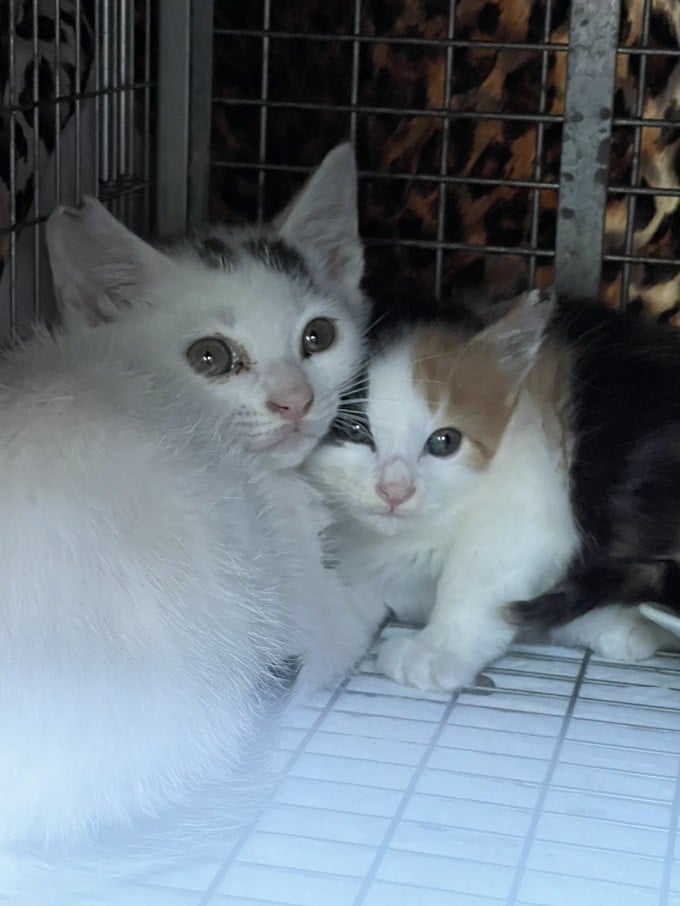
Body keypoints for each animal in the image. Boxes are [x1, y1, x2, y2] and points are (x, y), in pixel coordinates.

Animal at [304, 288, 678, 693]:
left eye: (444, 442)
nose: (394, 491)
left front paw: (436, 649)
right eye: (355, 430)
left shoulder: (535, 498)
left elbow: (478, 574)